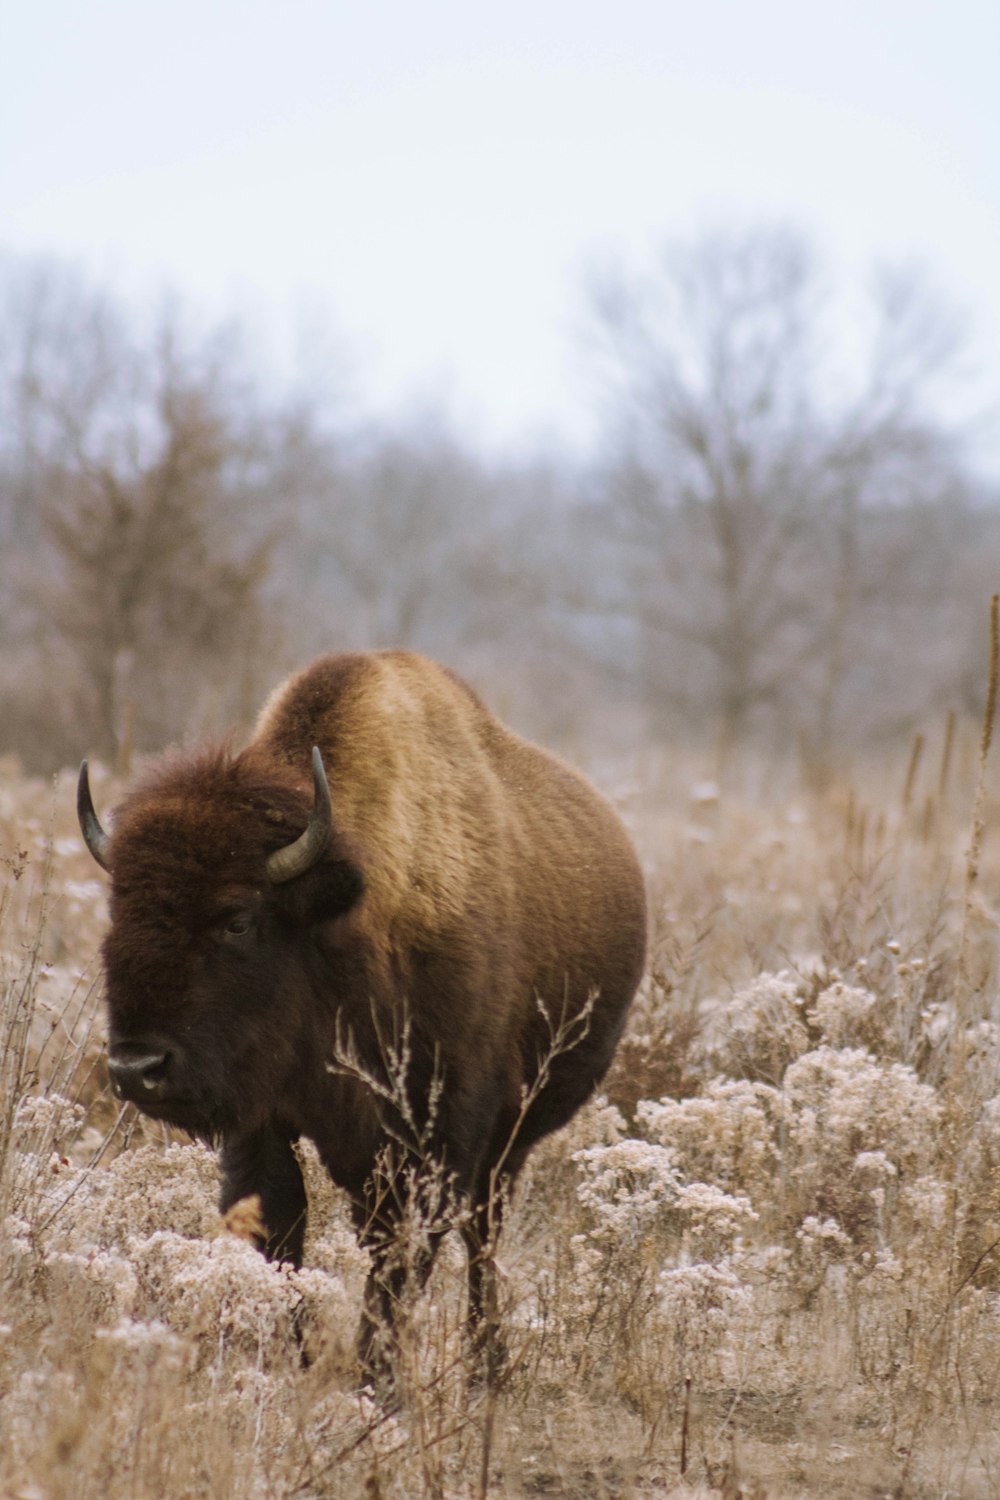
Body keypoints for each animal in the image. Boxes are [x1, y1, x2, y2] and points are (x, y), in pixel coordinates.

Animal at [74, 651, 644, 1386]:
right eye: (118, 911)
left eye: (238, 918)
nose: (136, 1066)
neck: (342, 921)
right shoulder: (265, 1123)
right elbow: (279, 1225)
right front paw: (301, 1356)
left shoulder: (437, 1140)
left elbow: (397, 1258)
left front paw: (376, 1380)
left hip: (510, 1139)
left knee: (482, 1234)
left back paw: (486, 1368)